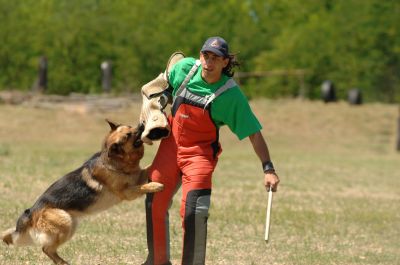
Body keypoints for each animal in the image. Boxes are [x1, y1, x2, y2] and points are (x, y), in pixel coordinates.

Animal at [1, 120, 163, 264]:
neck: (115, 162)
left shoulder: (137, 176)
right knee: (46, 248)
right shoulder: (127, 193)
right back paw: (63, 262)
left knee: (47, 248)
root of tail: (31, 211)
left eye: (130, 126)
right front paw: (155, 185)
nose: (142, 124)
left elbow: (147, 168)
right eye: (129, 135)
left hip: (70, 224)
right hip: (66, 221)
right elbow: (141, 187)